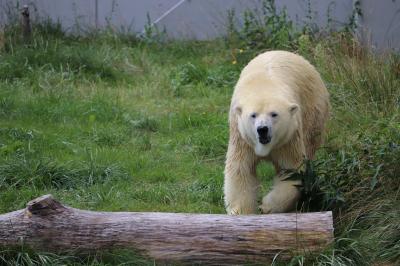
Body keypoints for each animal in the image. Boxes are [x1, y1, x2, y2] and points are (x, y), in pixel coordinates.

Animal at [223, 51, 330, 215]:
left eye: (274, 114)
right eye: (253, 115)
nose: (262, 129)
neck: (263, 86)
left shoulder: (288, 138)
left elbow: (291, 170)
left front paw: (267, 206)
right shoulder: (242, 138)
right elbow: (241, 170)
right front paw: (241, 211)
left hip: (313, 112)